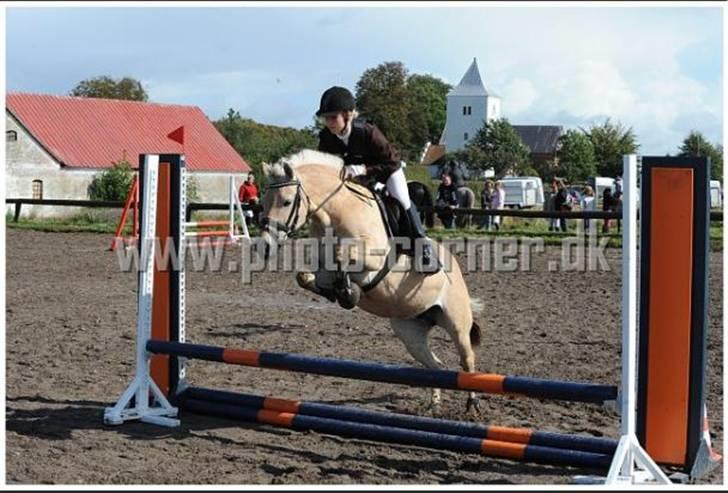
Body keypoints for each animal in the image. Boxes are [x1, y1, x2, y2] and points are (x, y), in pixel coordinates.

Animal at [262, 150, 484, 412]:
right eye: (263, 202)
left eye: (286, 202)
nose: (266, 245)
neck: (337, 213)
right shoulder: (322, 267)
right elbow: (305, 276)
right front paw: (341, 292)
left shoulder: (373, 259)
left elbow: (343, 256)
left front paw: (348, 292)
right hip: (410, 331)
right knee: (435, 366)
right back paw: (434, 405)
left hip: (455, 321)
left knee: (467, 360)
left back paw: (472, 404)